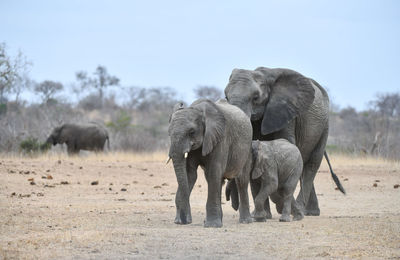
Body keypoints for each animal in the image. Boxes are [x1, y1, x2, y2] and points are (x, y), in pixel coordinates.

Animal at [167, 98, 252, 226]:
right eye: (169, 133)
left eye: (191, 132)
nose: (184, 221)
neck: (198, 109)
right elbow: (190, 174)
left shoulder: (220, 137)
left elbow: (214, 172)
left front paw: (212, 225)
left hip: (247, 148)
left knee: (241, 180)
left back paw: (246, 221)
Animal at [225, 67, 344, 217]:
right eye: (226, 97)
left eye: (255, 98)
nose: (232, 202)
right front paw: (264, 215)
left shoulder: (287, 112)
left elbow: (287, 144)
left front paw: (279, 207)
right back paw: (310, 212)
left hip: (324, 125)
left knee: (312, 164)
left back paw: (301, 210)